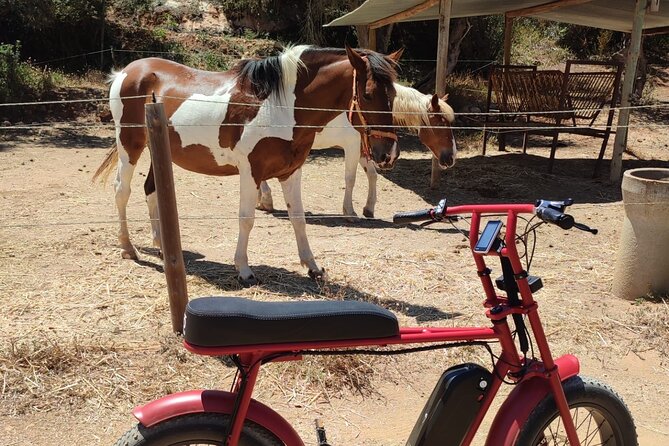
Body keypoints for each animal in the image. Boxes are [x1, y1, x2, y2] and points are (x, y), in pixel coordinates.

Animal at [93, 45, 401, 284]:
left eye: (394, 96)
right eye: (368, 94)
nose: (387, 153)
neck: (281, 107)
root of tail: (126, 71)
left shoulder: (291, 172)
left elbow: (298, 219)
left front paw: (313, 268)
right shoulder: (251, 172)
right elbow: (247, 219)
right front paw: (243, 270)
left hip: (160, 151)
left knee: (151, 190)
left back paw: (161, 246)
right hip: (130, 145)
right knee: (122, 191)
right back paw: (128, 248)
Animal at [256, 83, 456, 218]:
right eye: (441, 123)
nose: (451, 157)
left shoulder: (364, 150)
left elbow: (372, 176)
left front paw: (369, 208)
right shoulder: (352, 147)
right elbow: (350, 179)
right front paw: (349, 211)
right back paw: (266, 200)